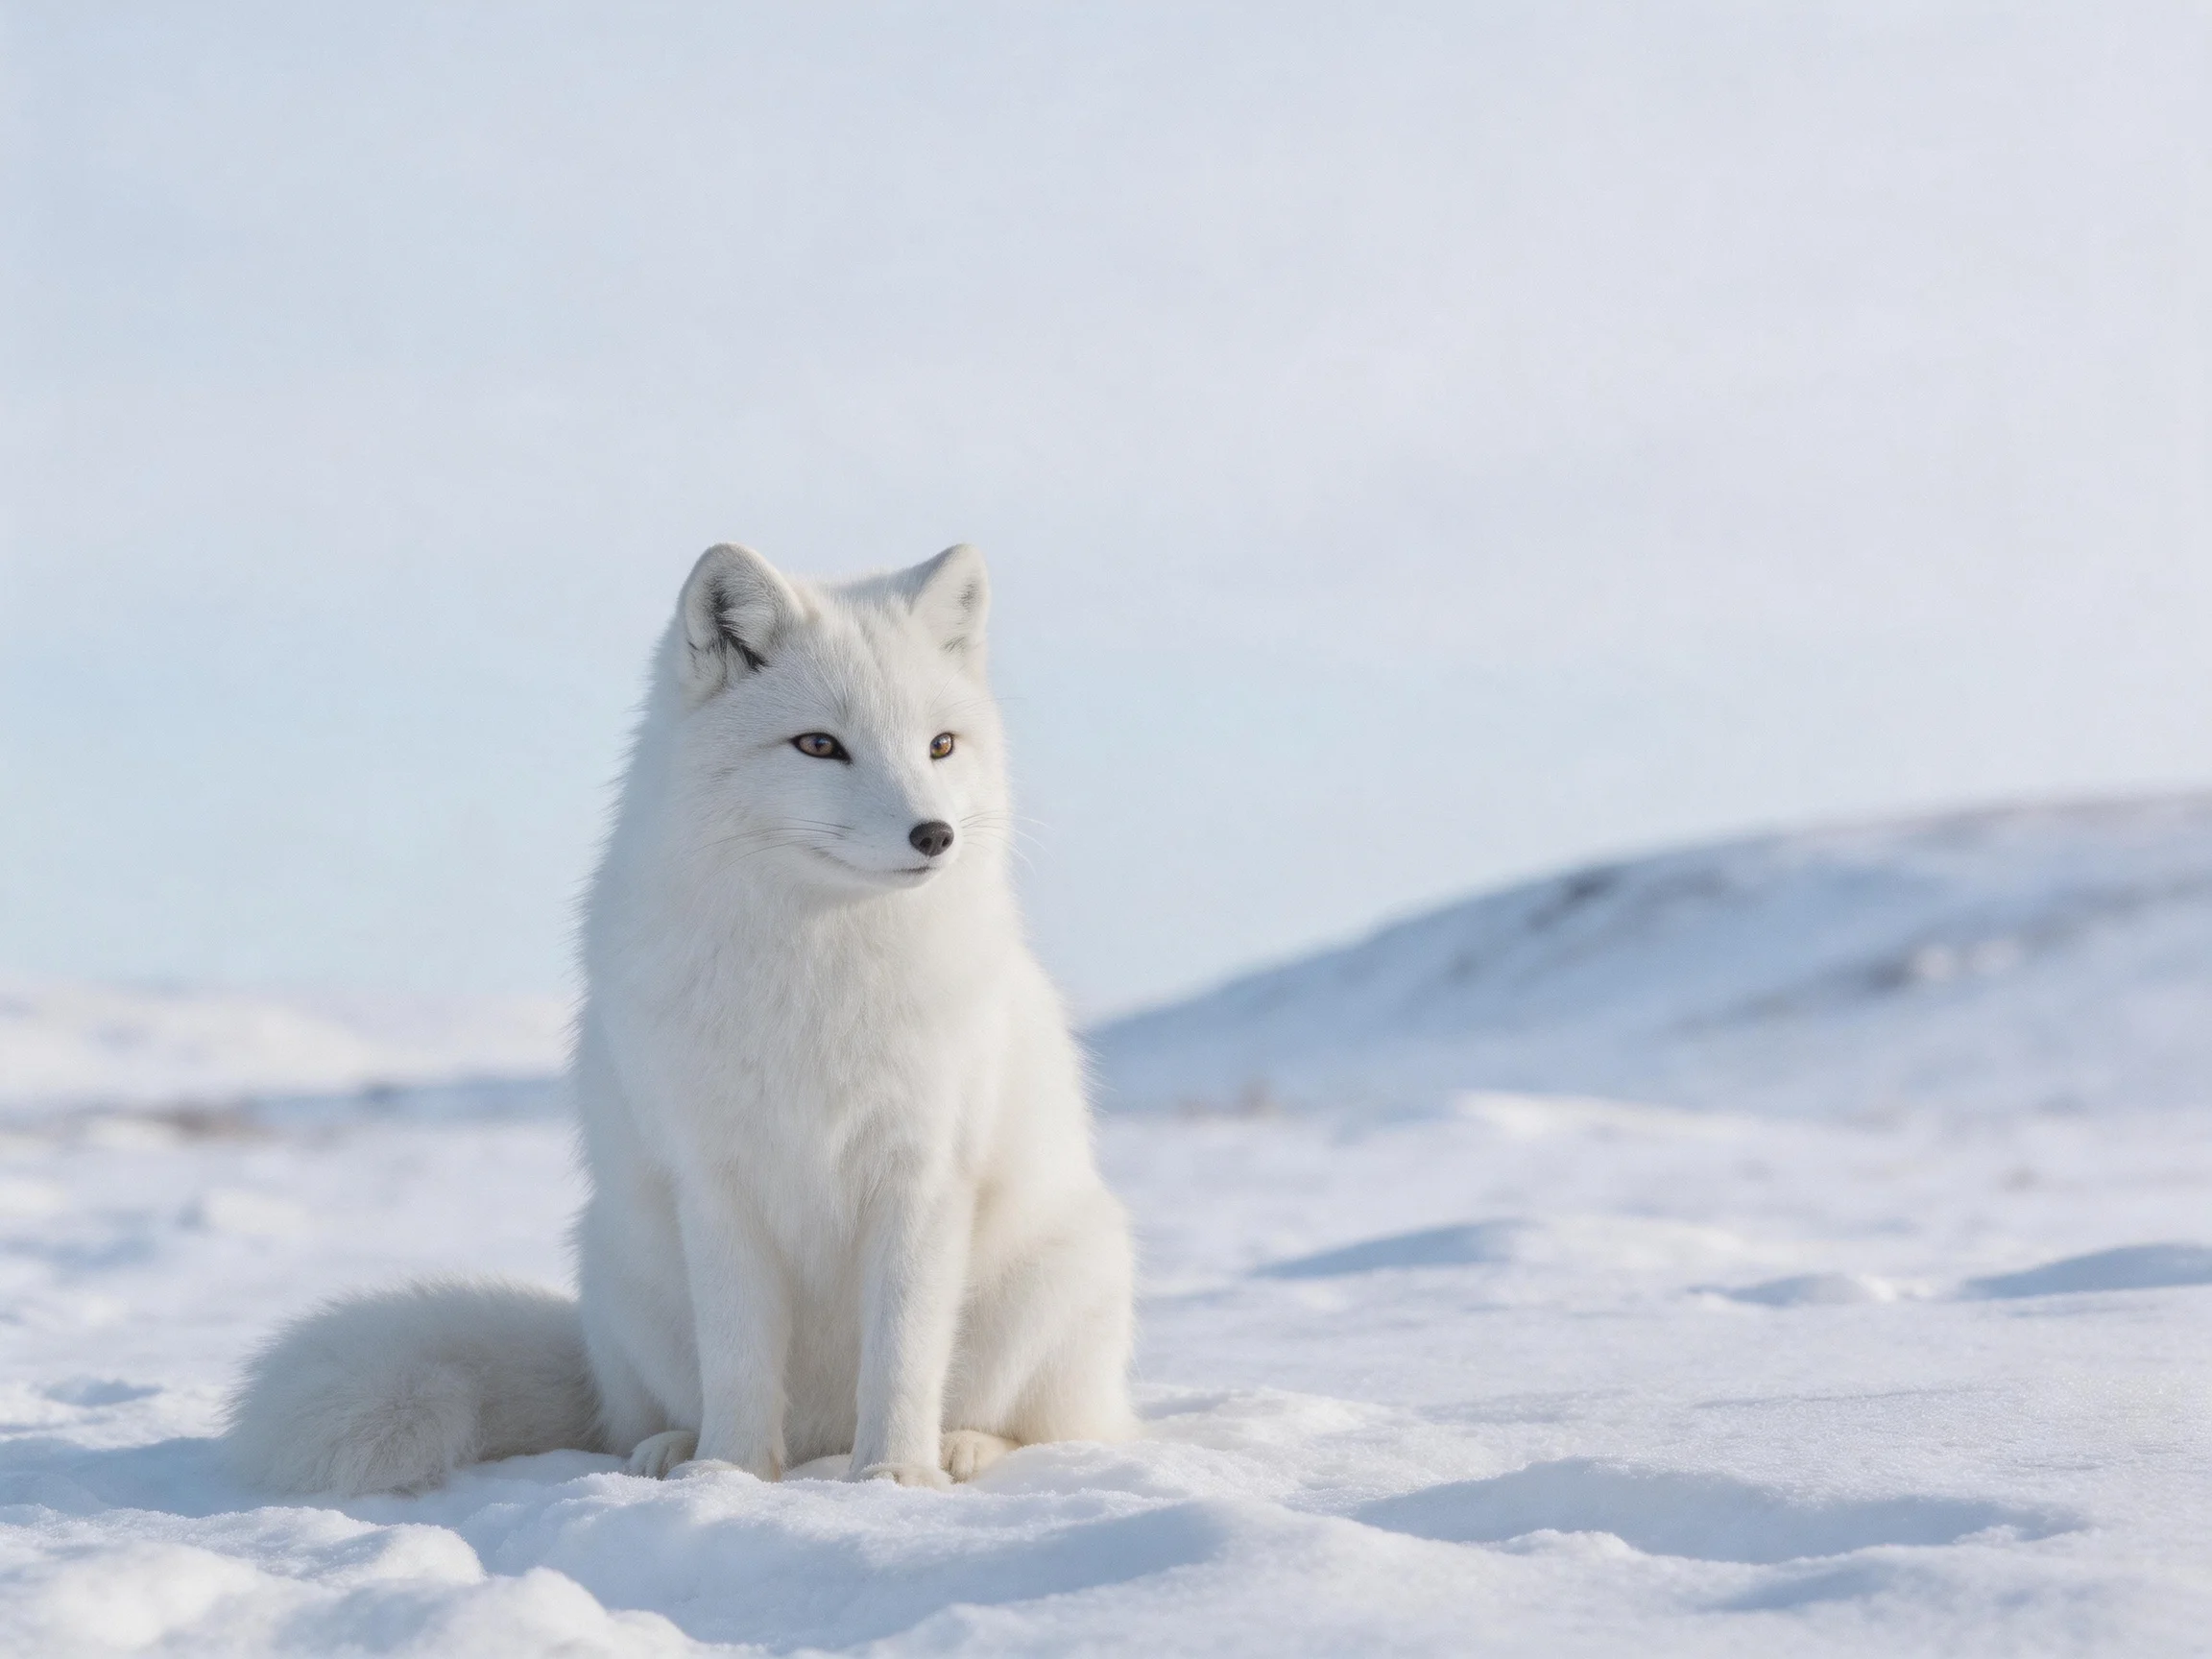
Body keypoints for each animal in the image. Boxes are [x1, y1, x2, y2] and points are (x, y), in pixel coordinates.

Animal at [226, 543, 1138, 1493]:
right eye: (820, 744)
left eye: (941, 744)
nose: (935, 835)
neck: (816, 968)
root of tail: (820, 1433)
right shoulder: (715, 1178)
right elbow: (737, 1359)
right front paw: (730, 1475)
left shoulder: (921, 1172)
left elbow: (902, 1356)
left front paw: (892, 1477)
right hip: (621, 1271)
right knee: (644, 1415)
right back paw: (673, 1451)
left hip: (1051, 1287)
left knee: (1071, 1429)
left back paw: (960, 1449)